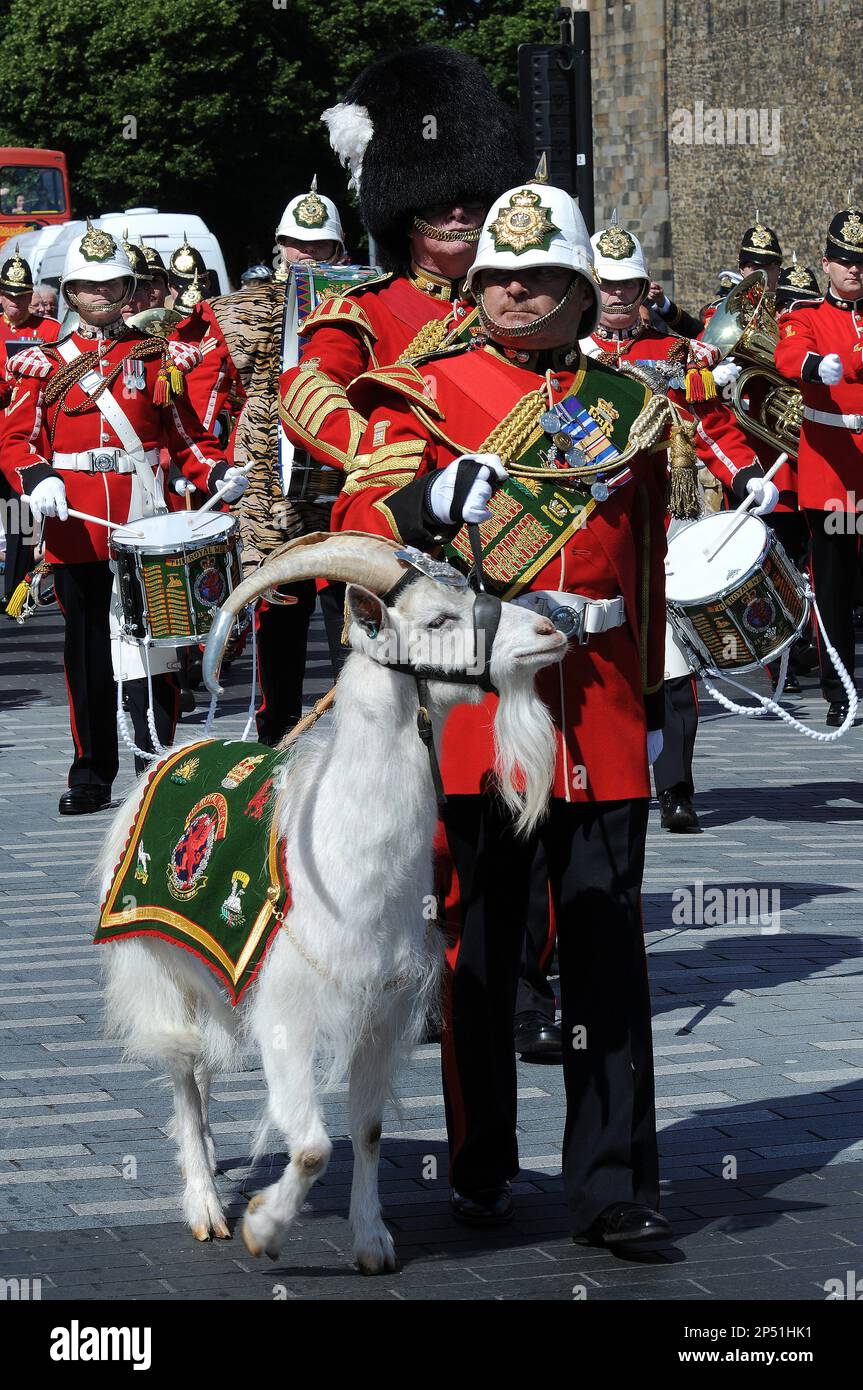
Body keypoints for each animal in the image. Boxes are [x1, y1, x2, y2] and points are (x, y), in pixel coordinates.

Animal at [97, 530, 564, 1273]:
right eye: (438, 620)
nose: (551, 631)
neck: (347, 864)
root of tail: (171, 755)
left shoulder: (384, 1008)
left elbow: (365, 1131)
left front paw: (373, 1243)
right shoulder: (288, 1010)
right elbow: (313, 1145)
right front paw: (264, 1229)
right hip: (153, 962)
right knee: (183, 1073)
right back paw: (205, 1208)